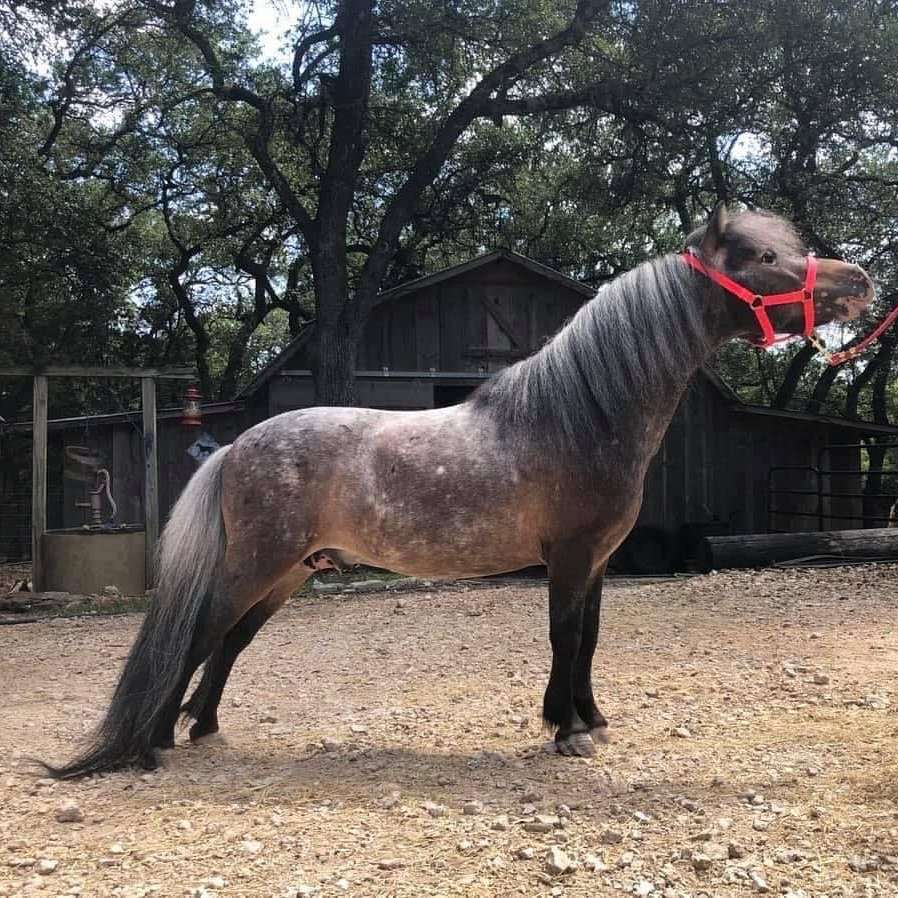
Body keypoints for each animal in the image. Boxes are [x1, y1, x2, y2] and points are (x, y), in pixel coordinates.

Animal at [45, 205, 872, 776]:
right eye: (765, 256)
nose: (859, 282)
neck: (580, 415)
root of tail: (239, 446)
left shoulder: (601, 561)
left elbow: (591, 639)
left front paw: (590, 718)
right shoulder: (570, 557)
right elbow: (565, 636)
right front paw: (566, 731)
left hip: (289, 574)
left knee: (232, 641)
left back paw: (205, 729)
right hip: (257, 564)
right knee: (201, 633)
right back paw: (155, 744)